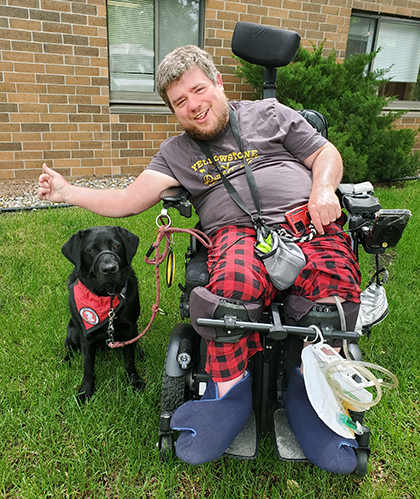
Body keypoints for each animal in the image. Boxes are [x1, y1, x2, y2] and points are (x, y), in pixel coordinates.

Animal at [62, 226, 146, 402]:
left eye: (116, 245)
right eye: (91, 250)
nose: (109, 268)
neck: (108, 299)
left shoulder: (129, 328)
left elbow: (129, 361)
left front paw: (134, 381)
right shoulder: (86, 337)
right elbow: (88, 368)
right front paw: (85, 392)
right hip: (72, 332)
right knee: (70, 349)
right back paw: (66, 360)